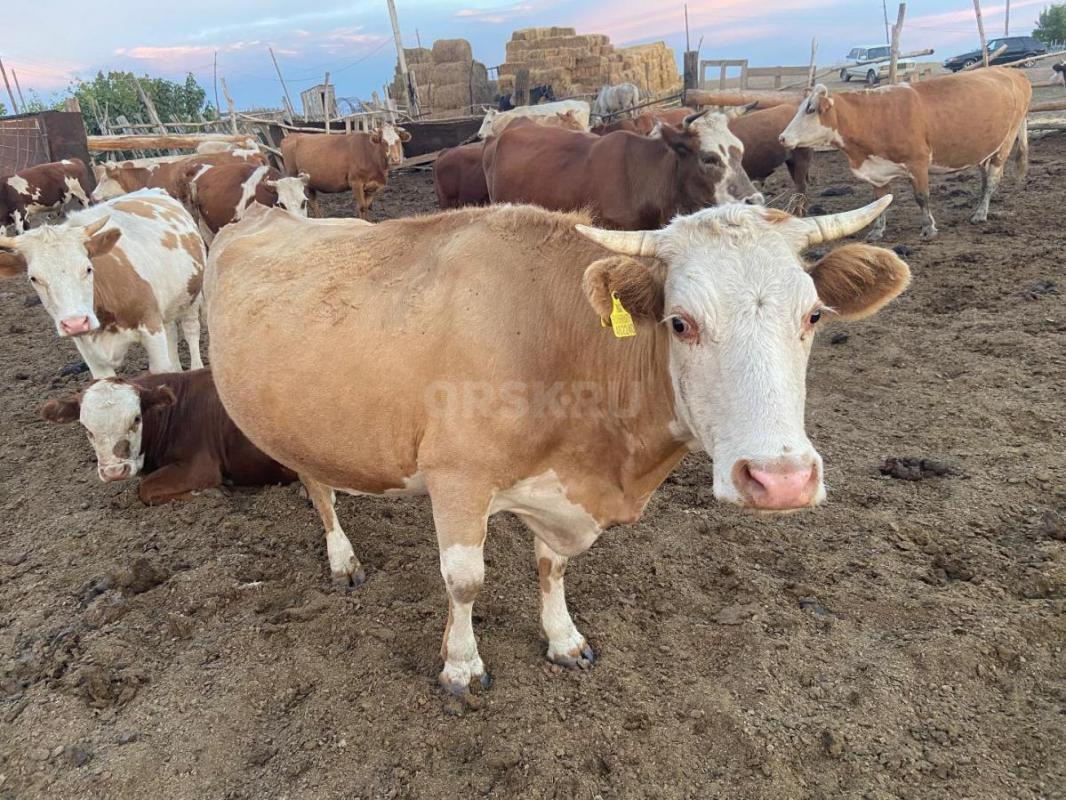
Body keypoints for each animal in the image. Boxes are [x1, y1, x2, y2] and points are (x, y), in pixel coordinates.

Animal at [0, 189, 205, 378]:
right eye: (34, 278)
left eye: (88, 268)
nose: (75, 324)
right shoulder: (89, 351)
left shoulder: (151, 327)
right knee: (171, 332)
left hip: (190, 297)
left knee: (191, 330)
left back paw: (196, 367)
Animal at [41, 369, 297, 505]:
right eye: (87, 429)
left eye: (136, 418)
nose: (115, 472)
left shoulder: (200, 467)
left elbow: (145, 489)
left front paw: (212, 491)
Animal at [204, 197, 909, 697]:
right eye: (680, 323)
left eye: (813, 316)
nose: (781, 479)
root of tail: (259, 213)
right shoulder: (457, 478)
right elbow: (464, 580)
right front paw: (460, 666)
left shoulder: (560, 494)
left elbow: (553, 567)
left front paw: (562, 638)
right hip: (287, 426)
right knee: (318, 487)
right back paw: (342, 558)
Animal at [281, 125, 412, 220]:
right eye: (383, 141)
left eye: (398, 140)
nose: (395, 160)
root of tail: (293, 135)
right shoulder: (356, 182)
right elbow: (362, 207)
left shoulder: (373, 187)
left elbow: (367, 206)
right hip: (293, 175)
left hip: (310, 182)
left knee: (313, 202)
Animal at [779, 68, 1031, 239]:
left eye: (811, 109)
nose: (782, 137)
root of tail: (1012, 71)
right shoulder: (876, 171)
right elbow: (880, 201)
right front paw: (877, 231)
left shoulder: (917, 162)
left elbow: (922, 197)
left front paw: (929, 227)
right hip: (985, 149)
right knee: (984, 177)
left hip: (1006, 142)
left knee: (992, 180)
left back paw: (980, 213)